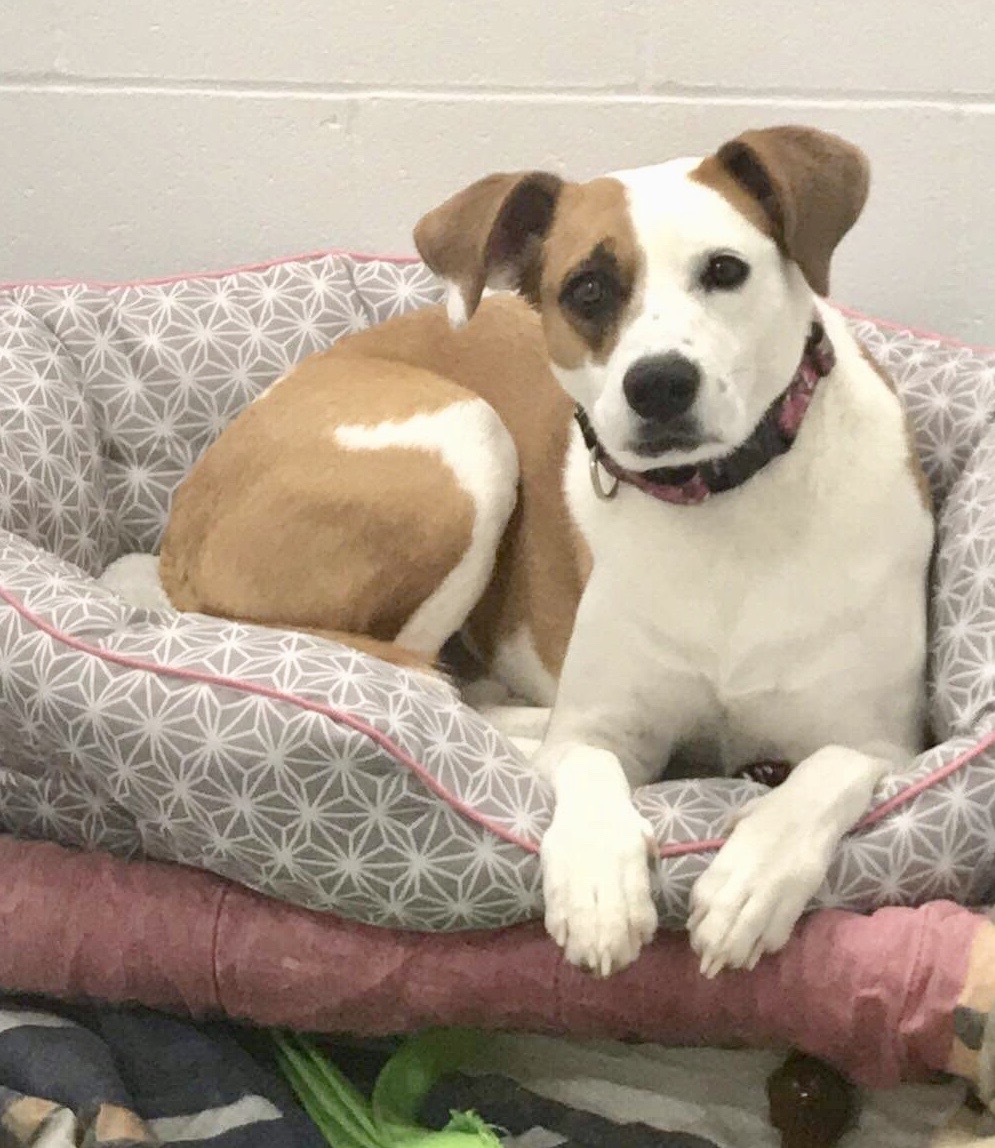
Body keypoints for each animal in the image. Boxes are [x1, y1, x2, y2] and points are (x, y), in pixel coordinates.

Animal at [142, 132, 941, 978]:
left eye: (724, 270)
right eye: (585, 289)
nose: (658, 384)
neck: (721, 506)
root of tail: (179, 535)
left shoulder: (887, 742)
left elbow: (821, 775)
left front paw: (751, 878)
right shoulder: (599, 728)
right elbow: (586, 766)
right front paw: (596, 883)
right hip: (470, 440)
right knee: (433, 682)